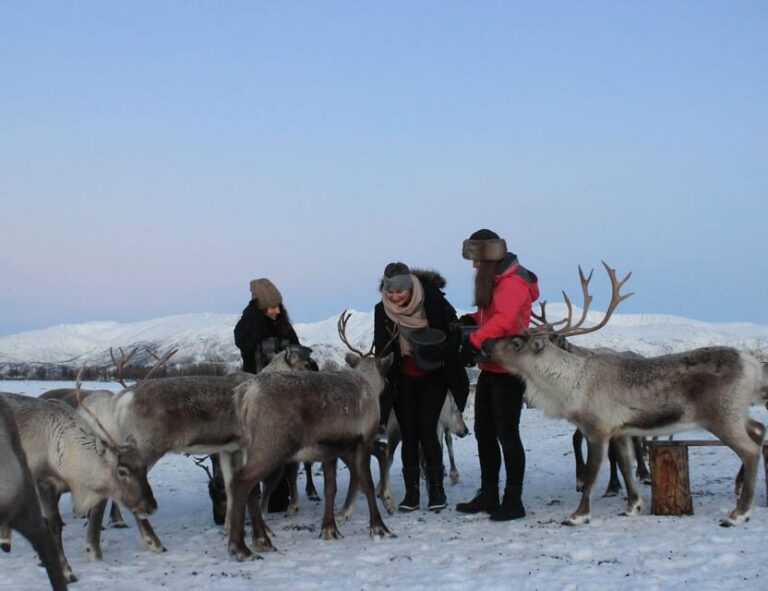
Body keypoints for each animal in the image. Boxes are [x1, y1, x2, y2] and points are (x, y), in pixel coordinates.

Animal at [226, 311, 395, 561]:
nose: (389, 385)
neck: (368, 383)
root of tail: (244, 395)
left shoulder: (330, 450)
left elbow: (330, 487)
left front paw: (329, 529)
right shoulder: (362, 440)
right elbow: (366, 481)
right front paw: (379, 527)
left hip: (252, 449)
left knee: (251, 488)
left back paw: (262, 540)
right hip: (272, 446)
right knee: (242, 482)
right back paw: (241, 546)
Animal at [481, 261, 768, 527]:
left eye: (517, 342)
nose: (485, 342)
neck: (571, 384)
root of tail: (751, 363)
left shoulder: (597, 429)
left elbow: (591, 475)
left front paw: (578, 515)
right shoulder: (620, 430)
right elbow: (625, 466)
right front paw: (633, 506)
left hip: (722, 415)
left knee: (750, 450)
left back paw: (738, 513)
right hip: (736, 412)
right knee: (758, 429)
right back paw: (739, 489)